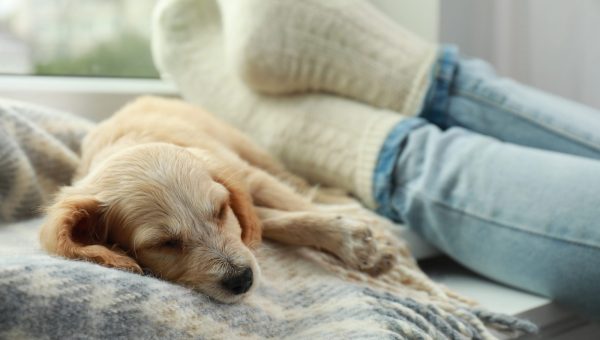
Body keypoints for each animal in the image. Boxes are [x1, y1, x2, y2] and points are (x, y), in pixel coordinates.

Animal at [39, 97, 396, 304]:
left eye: (221, 211)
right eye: (164, 244)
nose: (243, 280)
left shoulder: (246, 177)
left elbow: (294, 207)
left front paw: (359, 243)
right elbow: (269, 221)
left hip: (252, 151)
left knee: (297, 183)